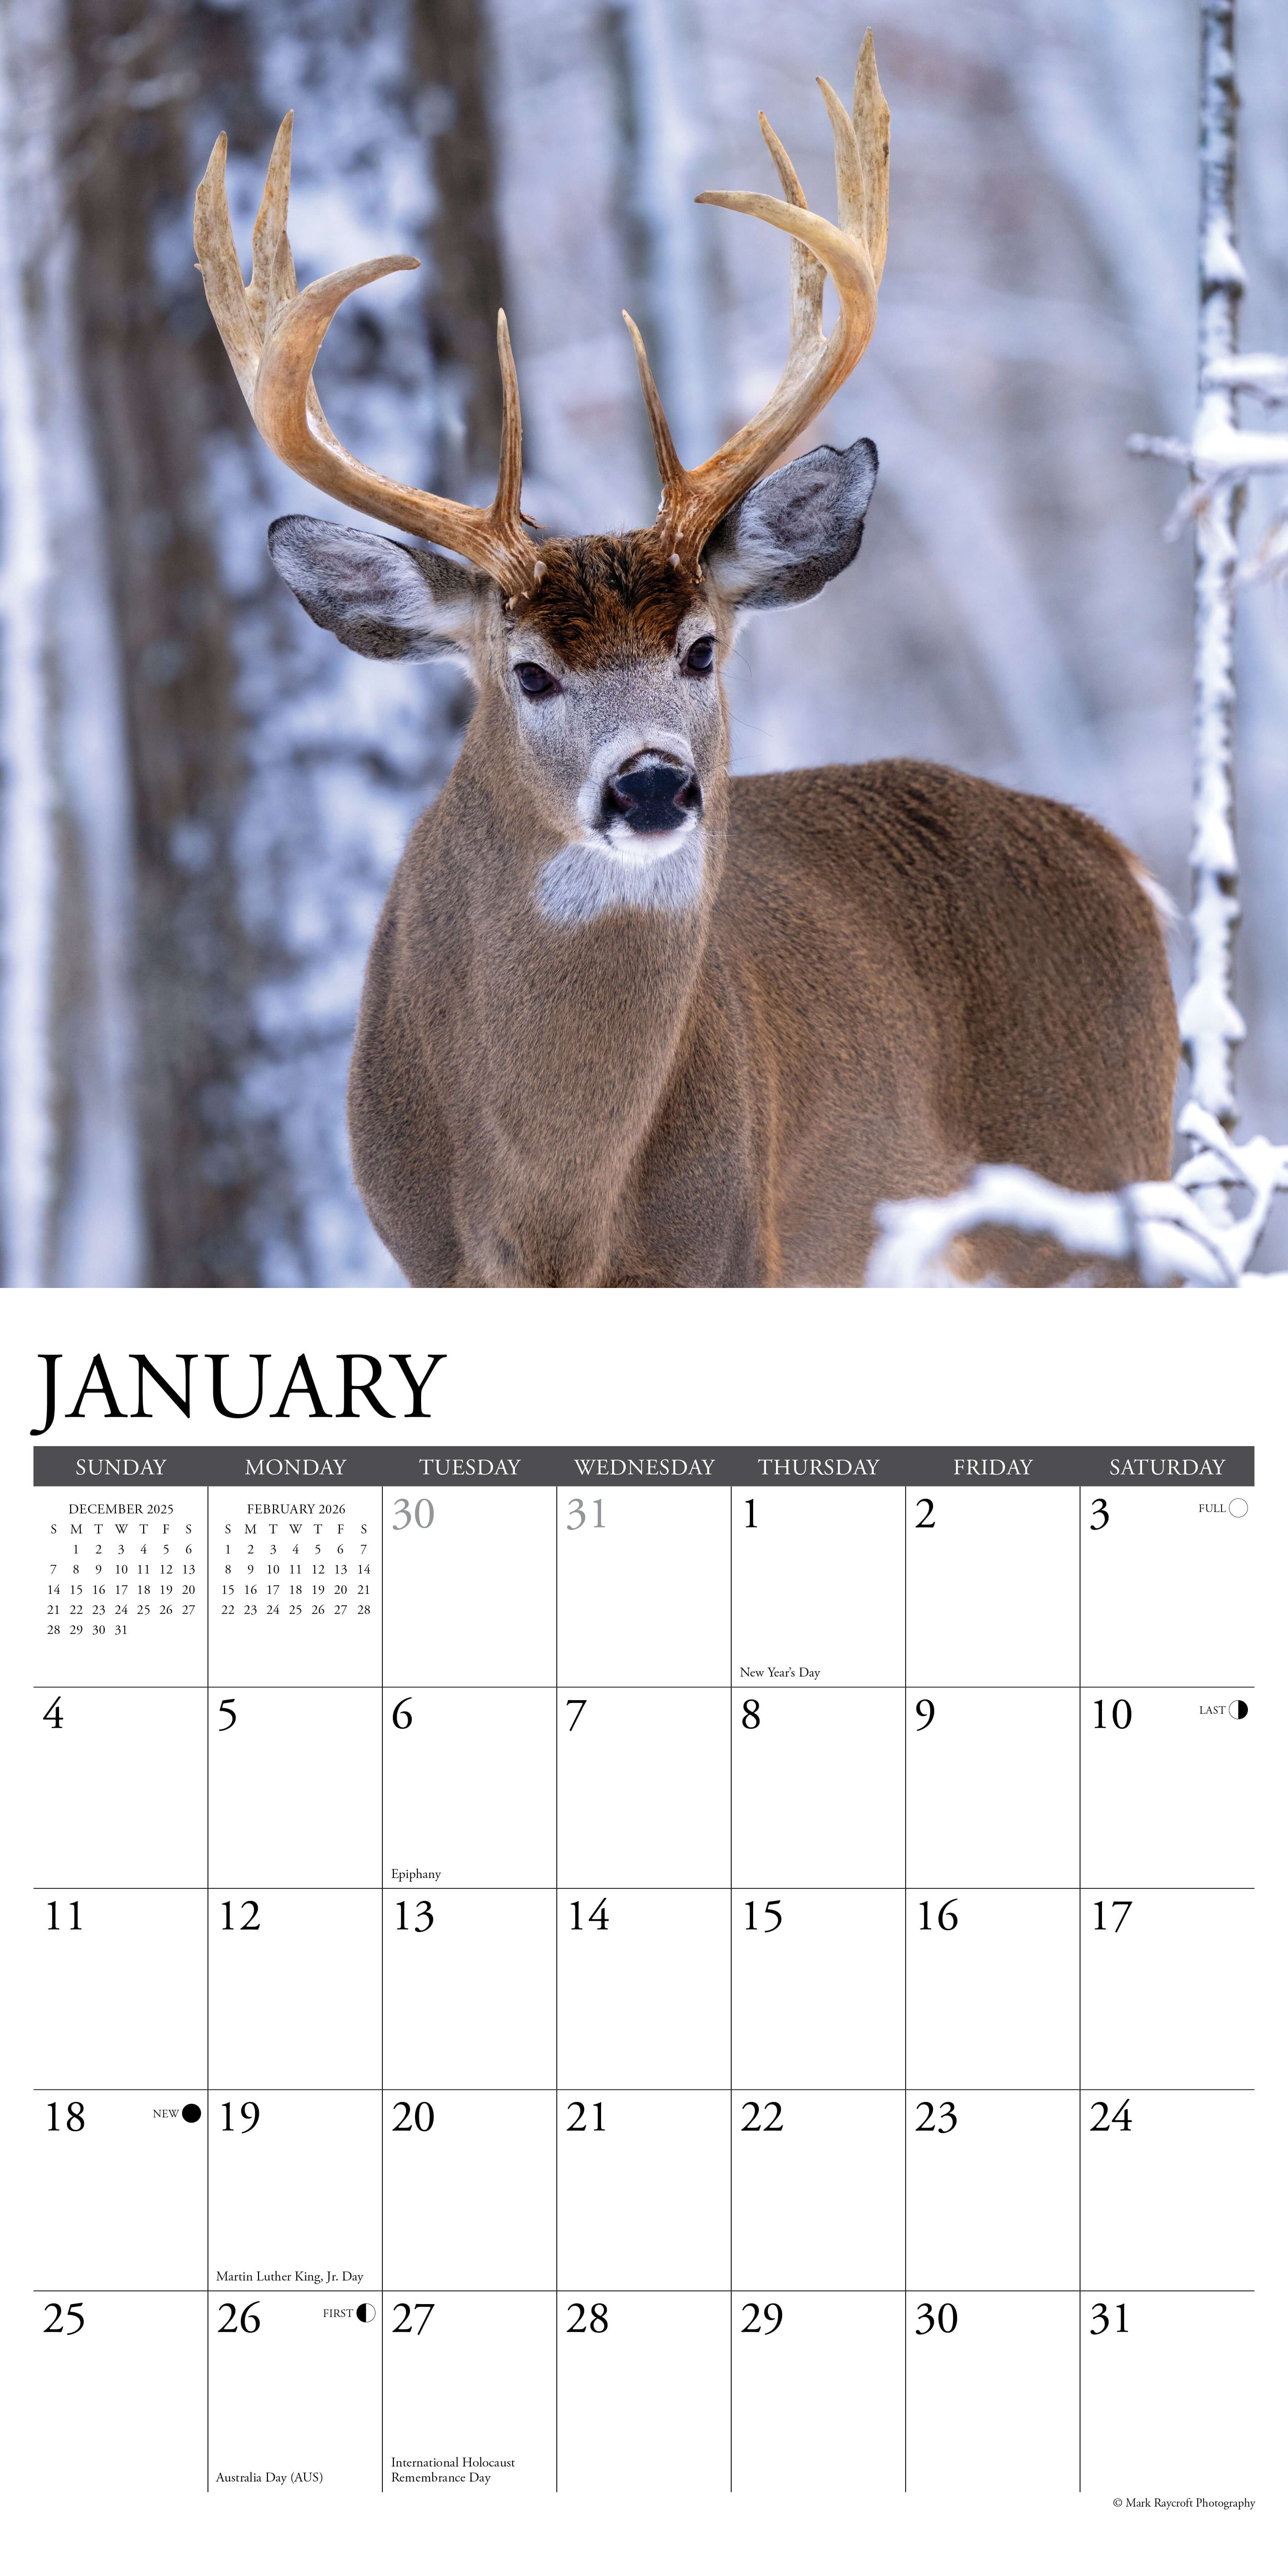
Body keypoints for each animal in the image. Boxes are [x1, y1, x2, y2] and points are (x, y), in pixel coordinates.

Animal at [194, 35, 1178, 1288]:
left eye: (702, 650)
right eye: (528, 672)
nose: (653, 782)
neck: (550, 1212)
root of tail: (1117, 862)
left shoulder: (734, 1245)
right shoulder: (417, 1254)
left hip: (1098, 1182)